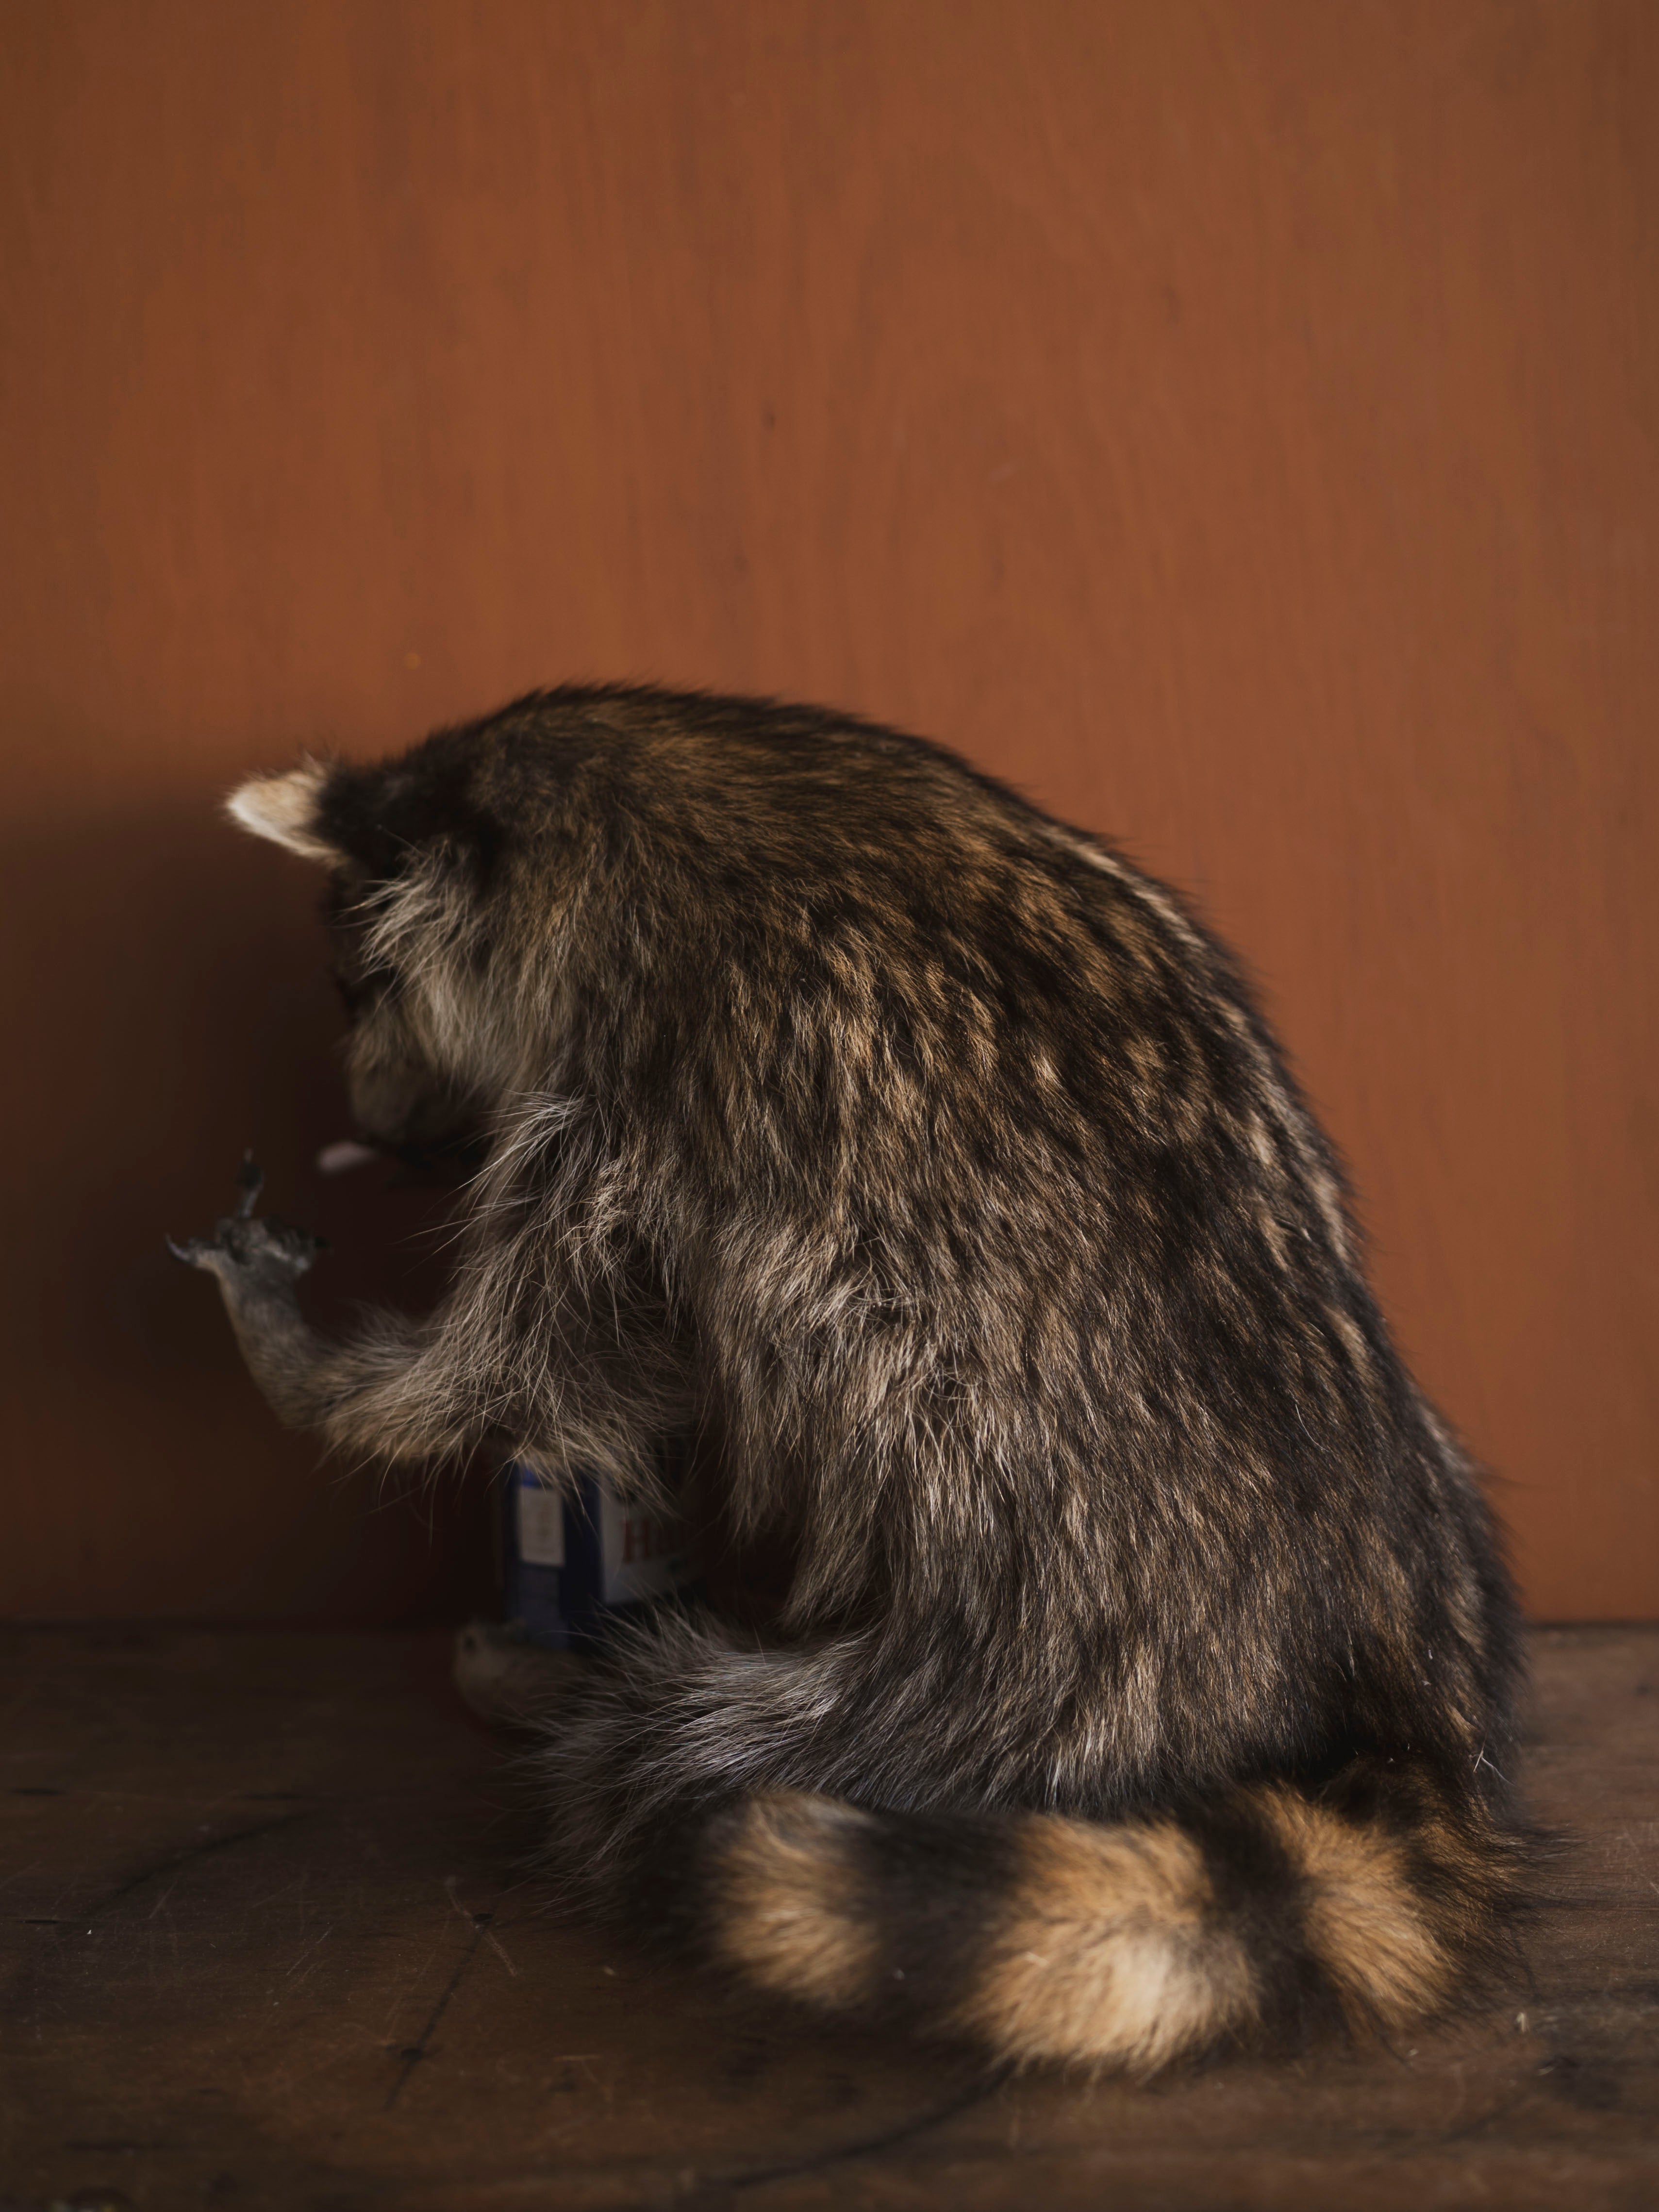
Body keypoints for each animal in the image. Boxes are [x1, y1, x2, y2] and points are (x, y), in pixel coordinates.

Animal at [173, 685, 1525, 2071]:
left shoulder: (623, 1099)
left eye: (359, 991)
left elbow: (524, 1368)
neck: (606, 789)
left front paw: (310, 1371)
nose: (374, 1132)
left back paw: (595, 1703)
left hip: (1037, 1640)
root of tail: (1393, 1646)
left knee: (664, 1749)